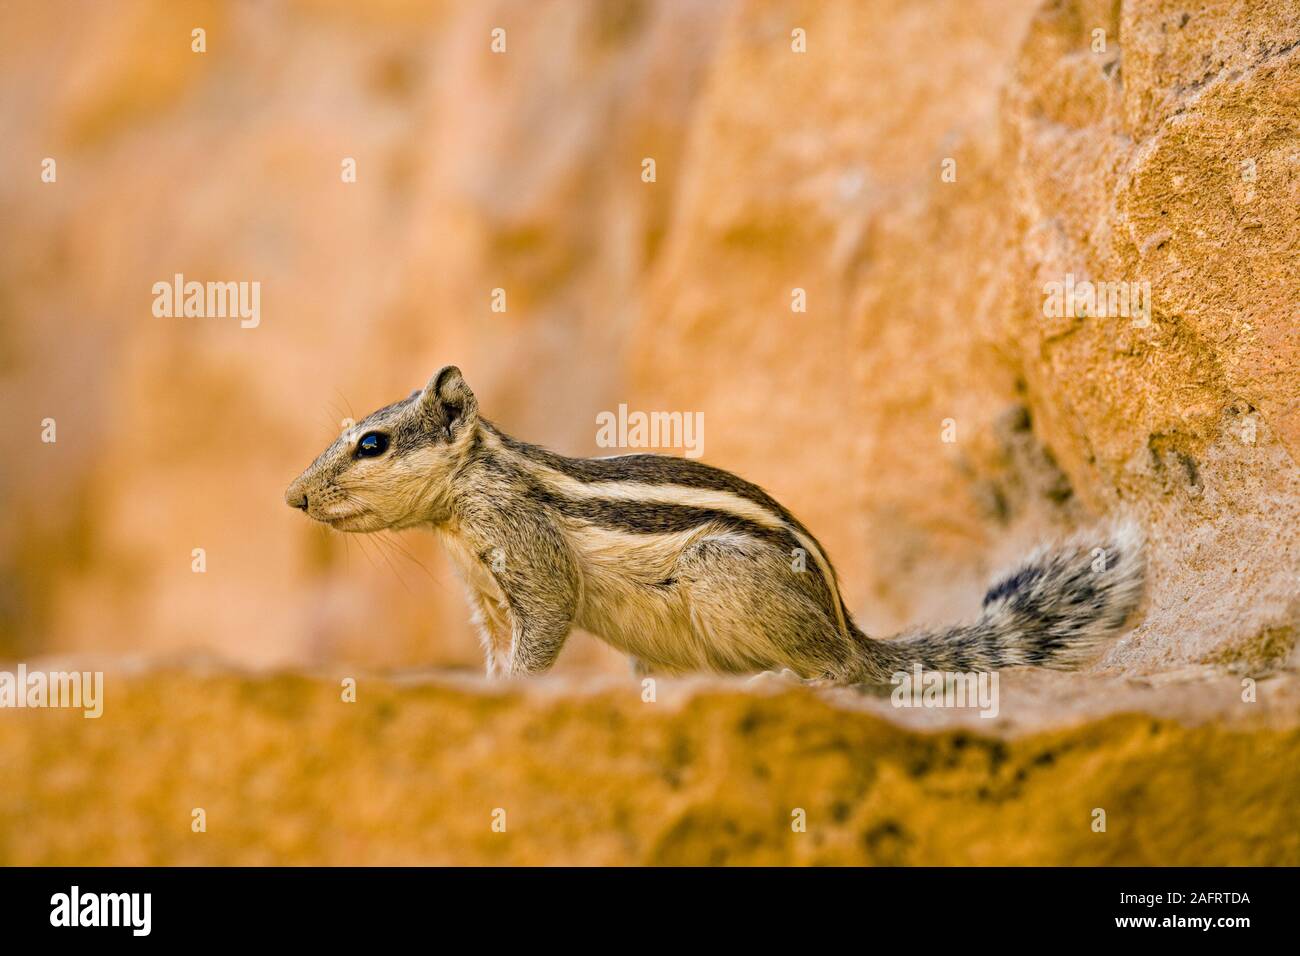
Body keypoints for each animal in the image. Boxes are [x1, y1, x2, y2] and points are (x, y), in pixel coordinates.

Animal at [287, 366, 1149, 681]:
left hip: (724, 577)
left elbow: (545, 628)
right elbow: (501, 651)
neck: (464, 503)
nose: (294, 497)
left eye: (372, 443)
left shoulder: (530, 561)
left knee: (842, 676)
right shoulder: (488, 597)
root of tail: (851, 628)